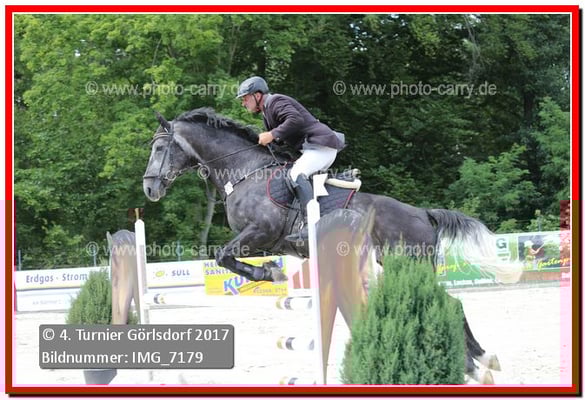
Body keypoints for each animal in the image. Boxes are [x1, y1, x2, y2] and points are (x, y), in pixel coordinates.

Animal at [142, 107, 523, 383]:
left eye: (159, 148)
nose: (149, 189)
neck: (243, 171)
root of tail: (423, 213)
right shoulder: (262, 241)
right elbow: (227, 259)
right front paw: (271, 271)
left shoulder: (260, 231)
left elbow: (223, 256)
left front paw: (270, 274)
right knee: (450, 304)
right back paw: (483, 360)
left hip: (408, 263)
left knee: (450, 304)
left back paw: (474, 365)